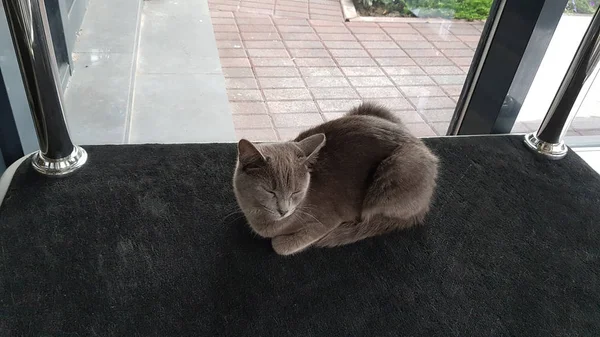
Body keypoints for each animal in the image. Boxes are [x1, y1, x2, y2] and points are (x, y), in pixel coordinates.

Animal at [232, 102, 438, 255]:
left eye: (296, 192)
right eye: (270, 191)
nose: (284, 211)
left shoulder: (327, 220)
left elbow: (280, 246)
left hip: (398, 168)